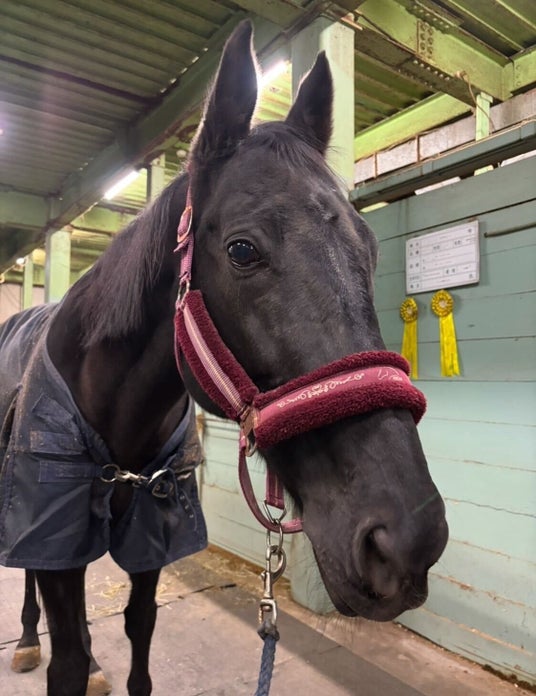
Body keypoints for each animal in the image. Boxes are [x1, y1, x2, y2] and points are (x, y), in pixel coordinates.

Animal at [0, 20, 448, 696]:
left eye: (369, 249)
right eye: (241, 250)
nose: (408, 541)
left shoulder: (153, 543)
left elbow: (137, 632)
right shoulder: (51, 529)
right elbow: (68, 655)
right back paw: (27, 640)